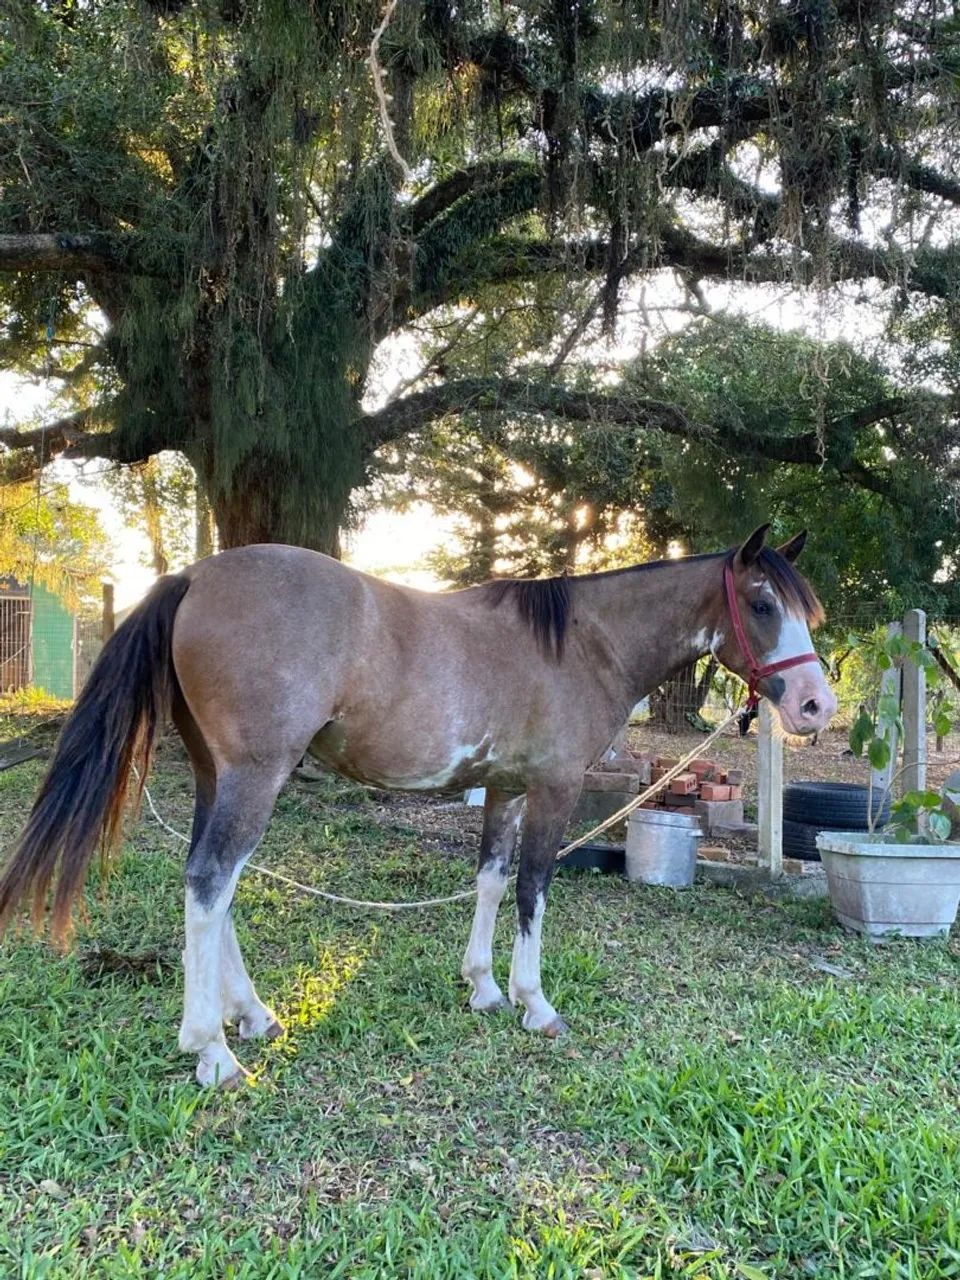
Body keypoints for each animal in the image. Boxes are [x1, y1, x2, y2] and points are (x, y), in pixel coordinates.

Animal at [0, 523, 836, 1087]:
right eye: (761, 602)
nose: (816, 706)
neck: (581, 644)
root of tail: (194, 577)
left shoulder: (505, 787)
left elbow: (491, 882)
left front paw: (485, 988)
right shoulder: (556, 788)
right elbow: (532, 890)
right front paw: (535, 1004)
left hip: (219, 774)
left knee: (216, 885)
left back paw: (254, 1016)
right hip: (254, 776)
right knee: (210, 883)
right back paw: (213, 1049)